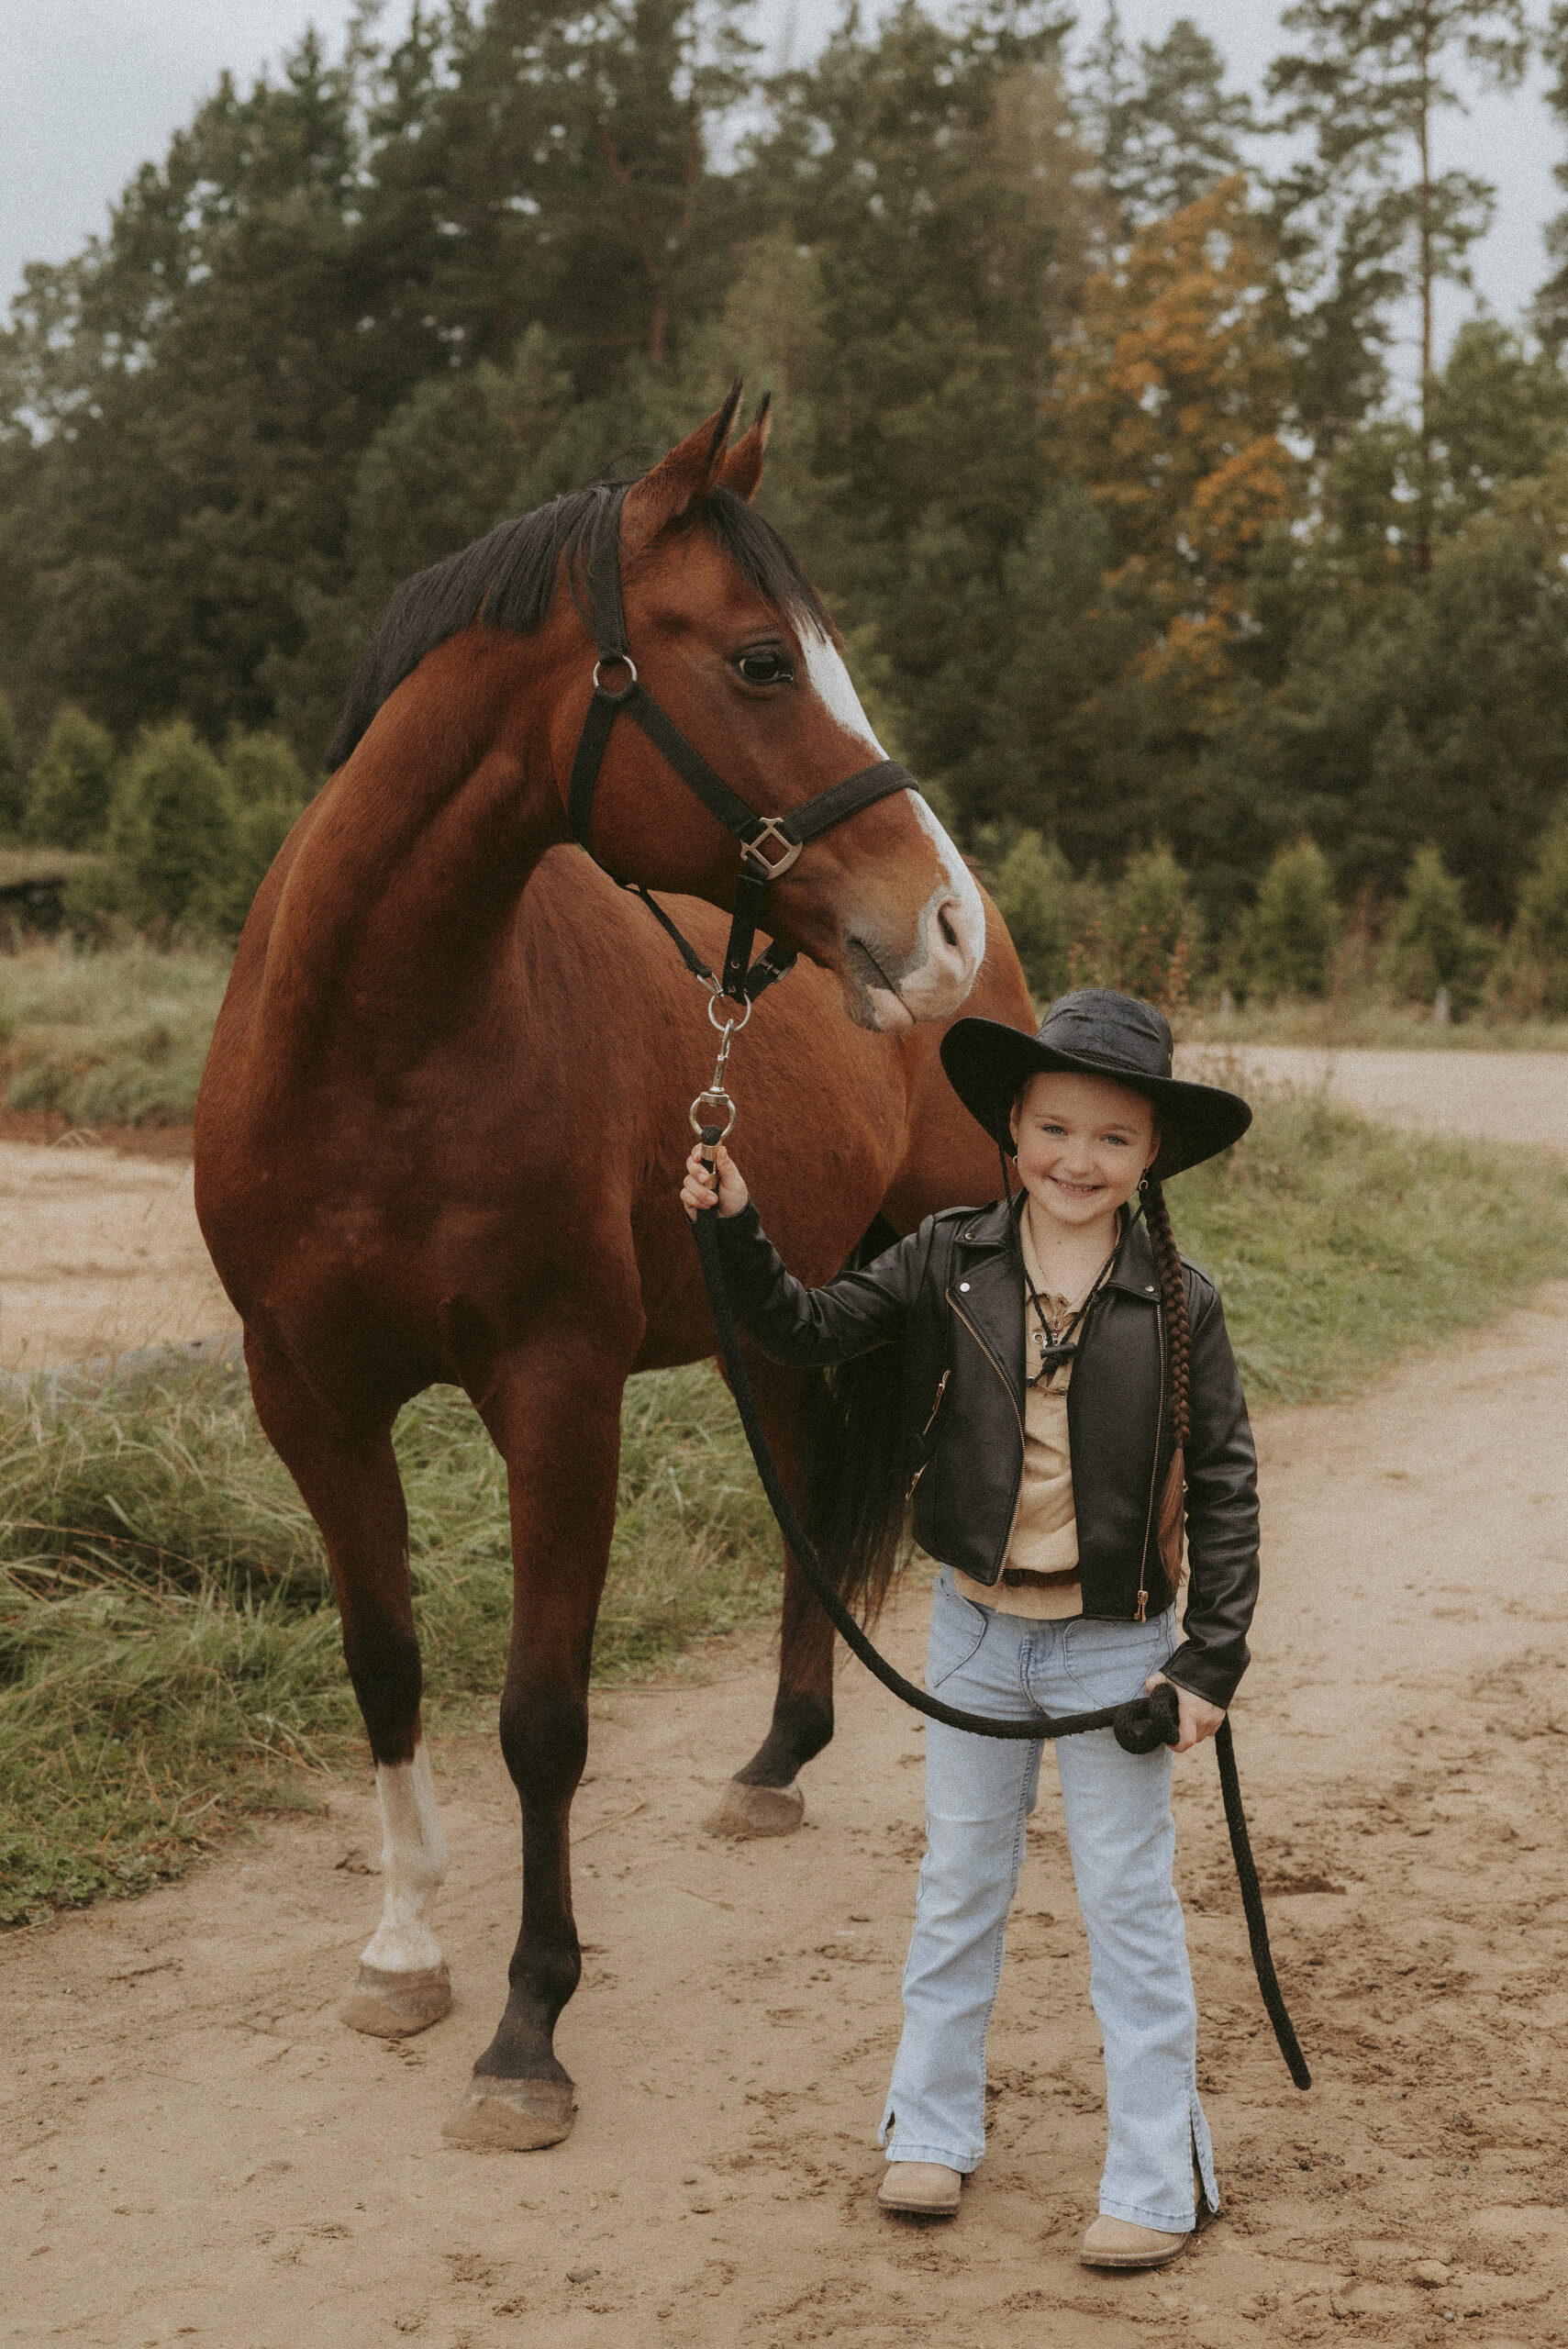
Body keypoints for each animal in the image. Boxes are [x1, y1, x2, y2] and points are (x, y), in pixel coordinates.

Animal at [193, 390, 1035, 2151]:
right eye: (762, 662)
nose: (930, 925)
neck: (376, 1044)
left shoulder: (556, 1393)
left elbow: (540, 1715)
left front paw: (529, 2028)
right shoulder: (307, 1396)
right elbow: (384, 1663)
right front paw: (401, 1952)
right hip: (773, 1323)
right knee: (809, 1508)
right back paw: (775, 1763)